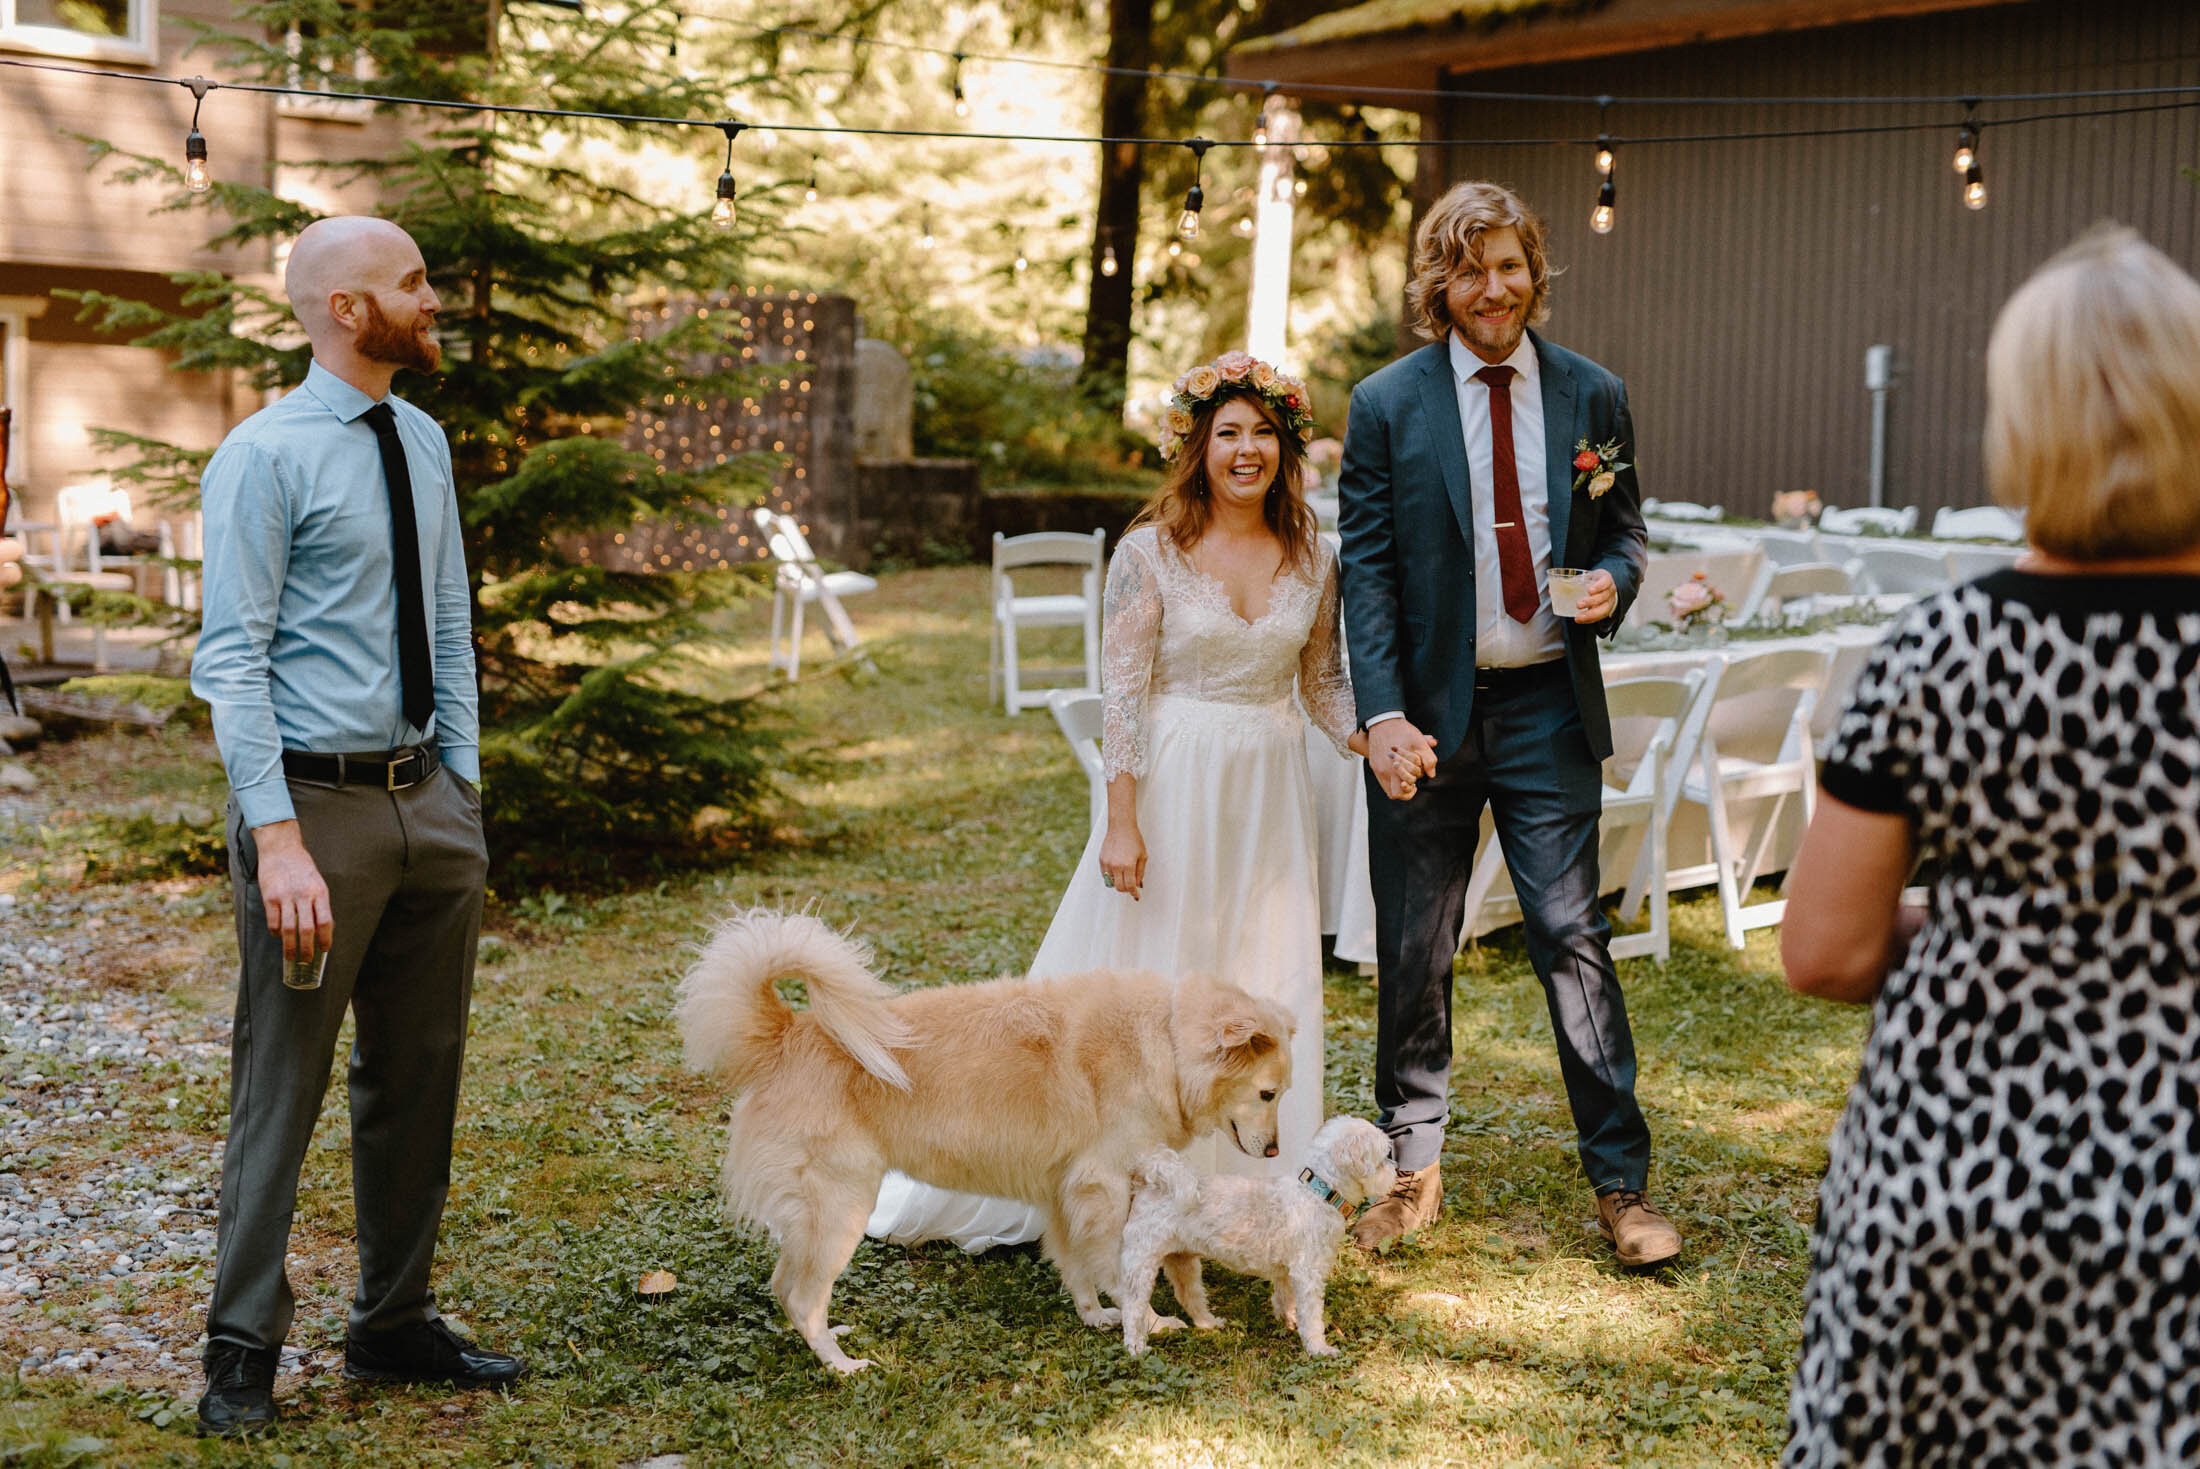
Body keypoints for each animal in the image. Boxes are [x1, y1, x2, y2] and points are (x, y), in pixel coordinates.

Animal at [1117, 1125, 1390, 1354]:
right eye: (1383, 1158)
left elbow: (1285, 1298)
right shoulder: (1308, 1273)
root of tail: (1150, 1182)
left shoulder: (1287, 1271)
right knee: (1132, 1308)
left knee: (1188, 1295)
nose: (1395, 1168)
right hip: (1141, 1264)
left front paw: (1288, 1320)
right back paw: (1136, 1348)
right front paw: (1318, 1348)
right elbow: (1312, 1317)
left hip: (1182, 1260)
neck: (1318, 1194)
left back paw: (1209, 1323)